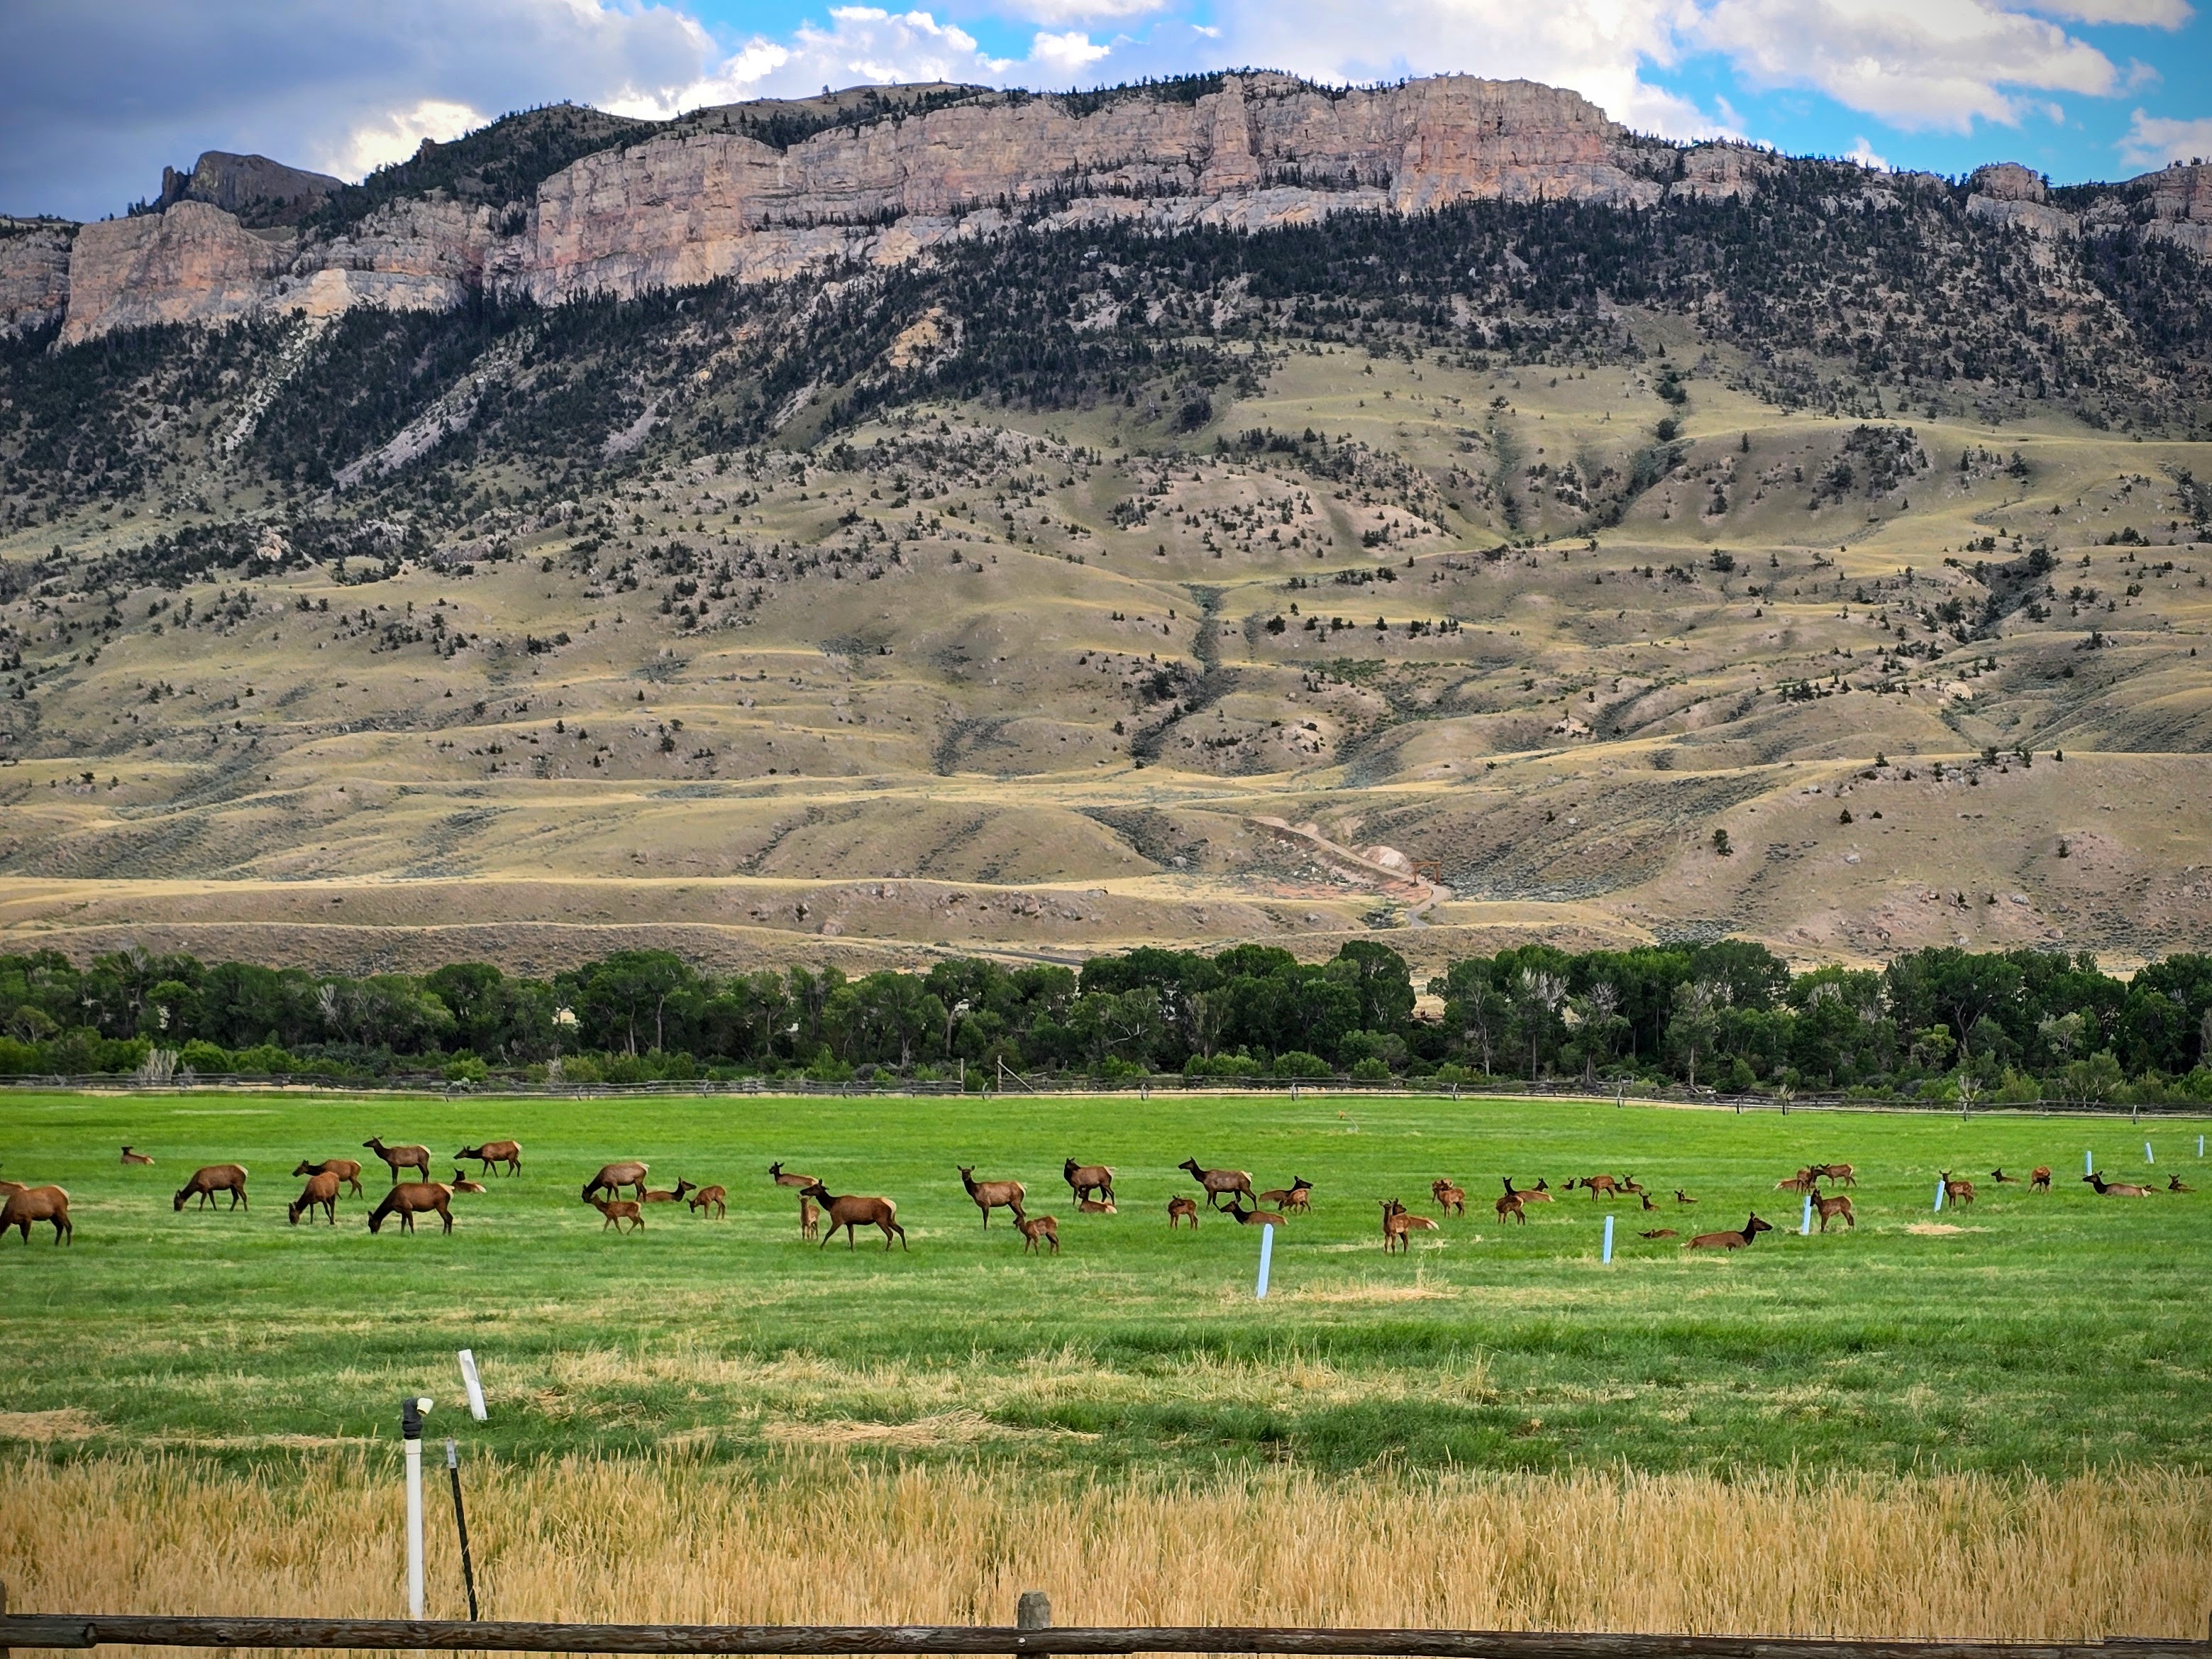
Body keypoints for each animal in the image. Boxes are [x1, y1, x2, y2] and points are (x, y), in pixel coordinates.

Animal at [796, 1185, 907, 1256]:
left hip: (881, 1219)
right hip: (890, 1219)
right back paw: (906, 1249)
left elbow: (828, 1234)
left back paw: (887, 1250)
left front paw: (821, 1247)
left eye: (814, 1187)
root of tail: (893, 1206)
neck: (831, 1205)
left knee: (890, 1233)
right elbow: (851, 1237)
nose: (802, 1191)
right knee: (901, 1230)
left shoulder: (838, 1220)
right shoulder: (850, 1223)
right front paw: (852, 1250)